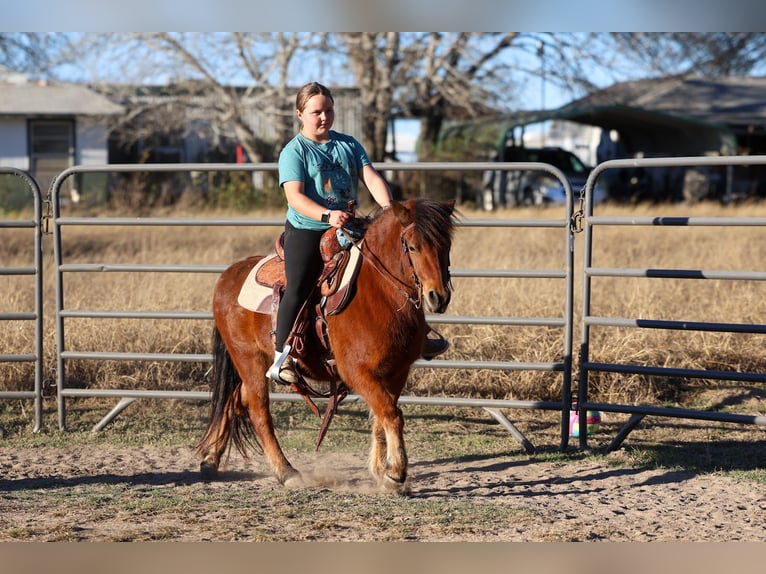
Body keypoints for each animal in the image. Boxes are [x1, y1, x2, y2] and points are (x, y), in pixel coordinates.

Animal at [196, 198, 457, 494]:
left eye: (446, 245)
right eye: (412, 246)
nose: (438, 297)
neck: (379, 293)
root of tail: (227, 275)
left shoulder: (397, 372)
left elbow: (381, 417)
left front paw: (381, 470)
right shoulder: (356, 372)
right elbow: (391, 414)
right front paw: (396, 473)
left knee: (234, 399)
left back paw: (210, 460)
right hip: (248, 359)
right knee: (258, 411)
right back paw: (286, 471)